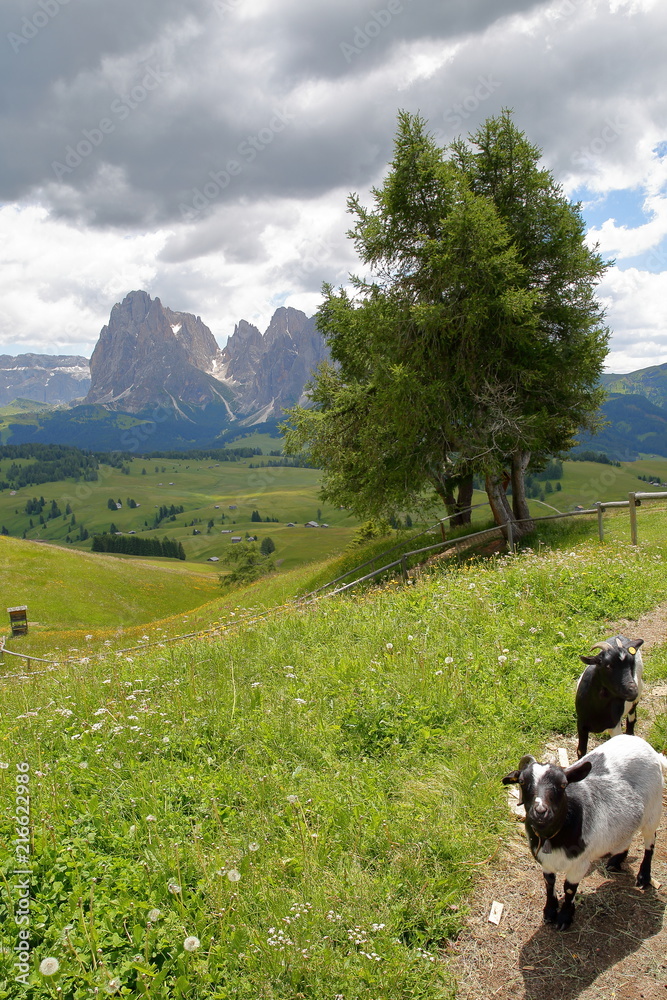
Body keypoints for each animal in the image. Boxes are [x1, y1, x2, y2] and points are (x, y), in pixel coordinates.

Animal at [504, 736, 664, 928]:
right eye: (522, 782)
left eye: (563, 784)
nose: (541, 811)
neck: (554, 837)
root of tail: (647, 747)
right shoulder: (545, 862)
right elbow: (549, 883)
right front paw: (549, 912)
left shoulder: (580, 864)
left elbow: (569, 888)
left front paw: (564, 918)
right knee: (627, 835)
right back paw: (616, 861)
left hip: (653, 810)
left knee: (650, 841)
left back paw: (643, 877)